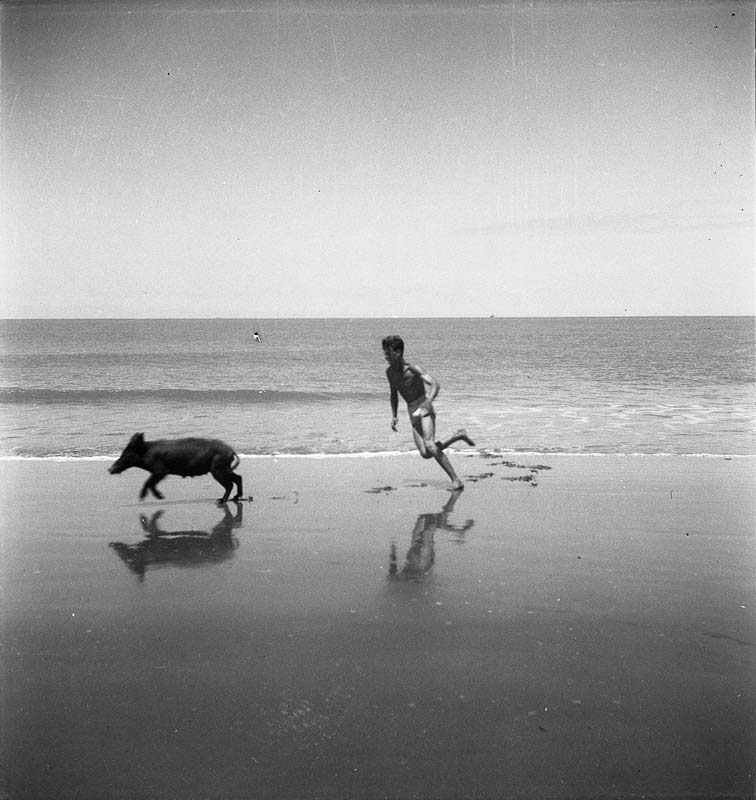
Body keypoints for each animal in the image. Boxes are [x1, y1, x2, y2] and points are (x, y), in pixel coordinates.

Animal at [109, 434, 244, 504]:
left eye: (126, 454)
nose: (109, 470)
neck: (147, 453)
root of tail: (231, 450)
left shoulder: (161, 471)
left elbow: (148, 482)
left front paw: (149, 498)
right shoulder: (159, 472)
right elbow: (150, 483)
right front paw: (160, 498)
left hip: (218, 470)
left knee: (230, 484)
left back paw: (221, 501)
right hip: (224, 469)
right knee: (238, 478)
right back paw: (233, 498)